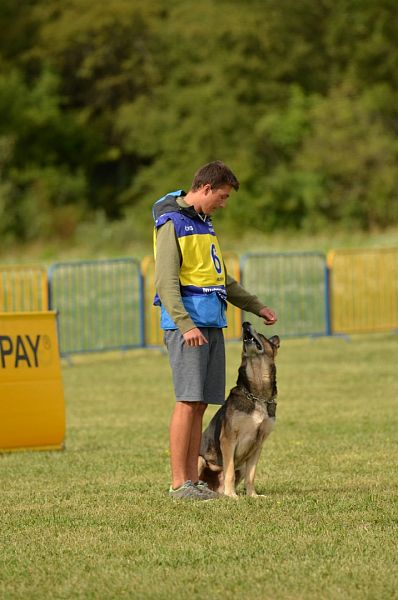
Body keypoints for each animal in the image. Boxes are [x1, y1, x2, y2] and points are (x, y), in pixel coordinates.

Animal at [199, 324, 280, 496]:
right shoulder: (228, 439)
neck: (257, 396)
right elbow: (229, 472)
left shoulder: (258, 445)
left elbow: (251, 475)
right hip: (200, 459)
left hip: (241, 466)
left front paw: (253, 496)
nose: (245, 324)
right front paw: (232, 496)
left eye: (261, 334)